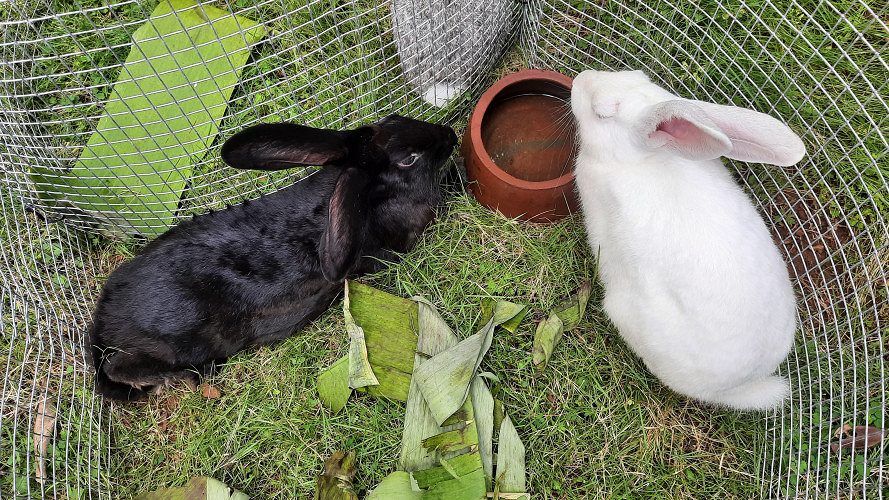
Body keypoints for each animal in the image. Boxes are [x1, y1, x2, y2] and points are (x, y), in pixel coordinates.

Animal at [88, 114, 458, 401]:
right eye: (409, 158)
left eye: (394, 119)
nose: (451, 135)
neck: (375, 199)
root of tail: (105, 316)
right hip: (178, 343)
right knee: (119, 368)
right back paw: (181, 378)